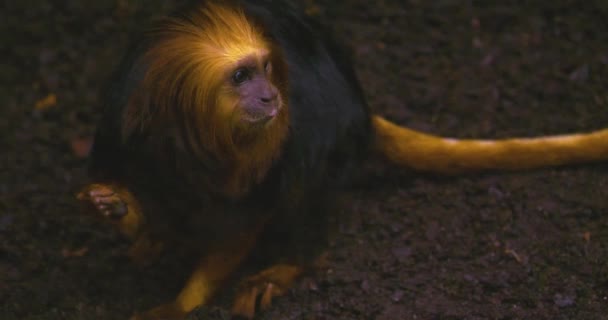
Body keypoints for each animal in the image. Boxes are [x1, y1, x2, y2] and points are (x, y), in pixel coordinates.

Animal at [77, 0, 608, 320]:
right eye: (241, 76)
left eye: (265, 70)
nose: (270, 96)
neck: (193, 137)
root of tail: (362, 109)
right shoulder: (122, 124)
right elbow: (126, 183)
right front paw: (118, 210)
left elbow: (244, 225)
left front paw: (183, 303)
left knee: (306, 176)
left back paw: (287, 265)